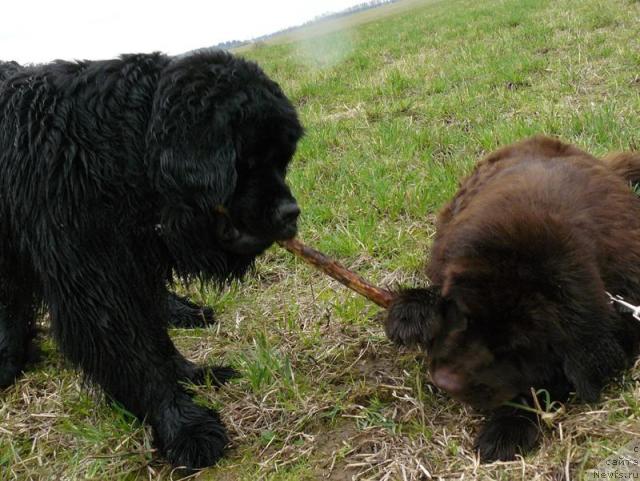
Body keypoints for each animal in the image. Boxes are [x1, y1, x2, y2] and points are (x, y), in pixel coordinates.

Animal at [0, 50, 302, 466]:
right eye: (248, 159)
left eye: (283, 159)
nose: (291, 213)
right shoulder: (93, 275)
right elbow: (135, 351)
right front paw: (185, 427)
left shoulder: (133, 262)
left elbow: (155, 338)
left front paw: (191, 373)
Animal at [384, 136, 640, 462]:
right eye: (463, 317)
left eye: (515, 347)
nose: (444, 382)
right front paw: (413, 312)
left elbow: (544, 383)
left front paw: (507, 427)